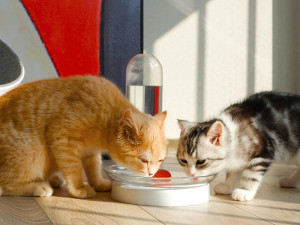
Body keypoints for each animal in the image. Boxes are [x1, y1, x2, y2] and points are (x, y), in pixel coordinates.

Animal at [0, 76, 166, 199]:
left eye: (160, 161)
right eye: (143, 160)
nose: (151, 174)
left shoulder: (91, 152)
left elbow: (94, 169)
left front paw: (98, 184)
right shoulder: (63, 139)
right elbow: (74, 169)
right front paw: (78, 188)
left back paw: (52, 179)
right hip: (31, 153)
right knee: (5, 185)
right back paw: (38, 186)